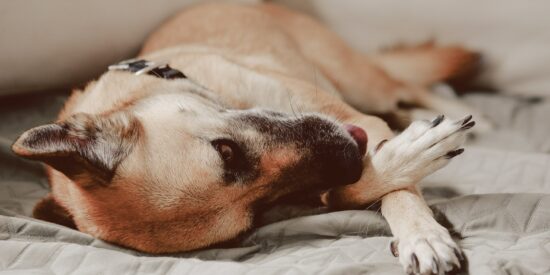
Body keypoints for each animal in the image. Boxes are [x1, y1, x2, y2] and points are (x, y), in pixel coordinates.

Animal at [11, 2, 478, 275]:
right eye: (255, 215)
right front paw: (398, 164)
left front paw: (422, 233)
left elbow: (394, 191)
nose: (349, 156)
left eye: (226, 151)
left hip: (361, 81)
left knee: (409, 86)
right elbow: (347, 192)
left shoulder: (360, 119)